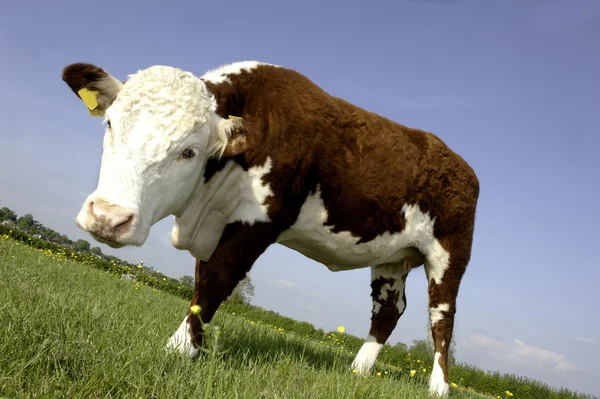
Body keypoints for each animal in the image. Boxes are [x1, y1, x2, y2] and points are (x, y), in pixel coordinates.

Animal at [61, 61, 480, 398]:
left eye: (189, 151)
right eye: (110, 124)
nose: (108, 217)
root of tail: (456, 160)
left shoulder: (262, 221)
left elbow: (216, 280)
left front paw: (178, 349)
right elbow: (200, 282)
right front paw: (192, 344)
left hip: (450, 253)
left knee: (441, 318)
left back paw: (439, 387)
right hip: (392, 256)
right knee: (388, 310)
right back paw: (358, 371)